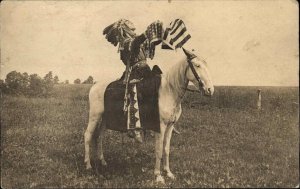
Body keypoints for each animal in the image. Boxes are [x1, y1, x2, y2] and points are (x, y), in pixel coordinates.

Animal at [84, 48, 214, 184]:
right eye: (197, 65)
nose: (210, 90)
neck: (169, 91)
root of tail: (95, 86)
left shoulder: (170, 126)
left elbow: (166, 149)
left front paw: (168, 173)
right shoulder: (160, 127)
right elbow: (159, 150)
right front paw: (158, 176)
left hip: (104, 119)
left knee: (99, 137)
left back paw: (103, 161)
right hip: (94, 116)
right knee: (87, 136)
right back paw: (88, 165)